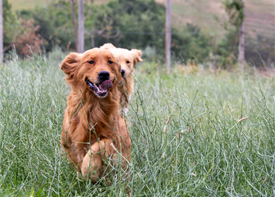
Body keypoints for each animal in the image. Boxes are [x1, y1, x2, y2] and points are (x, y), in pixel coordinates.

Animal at [61, 47, 132, 182]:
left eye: (110, 61)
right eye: (90, 61)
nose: (104, 74)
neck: (94, 107)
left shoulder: (114, 141)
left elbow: (99, 145)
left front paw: (89, 170)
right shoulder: (67, 143)